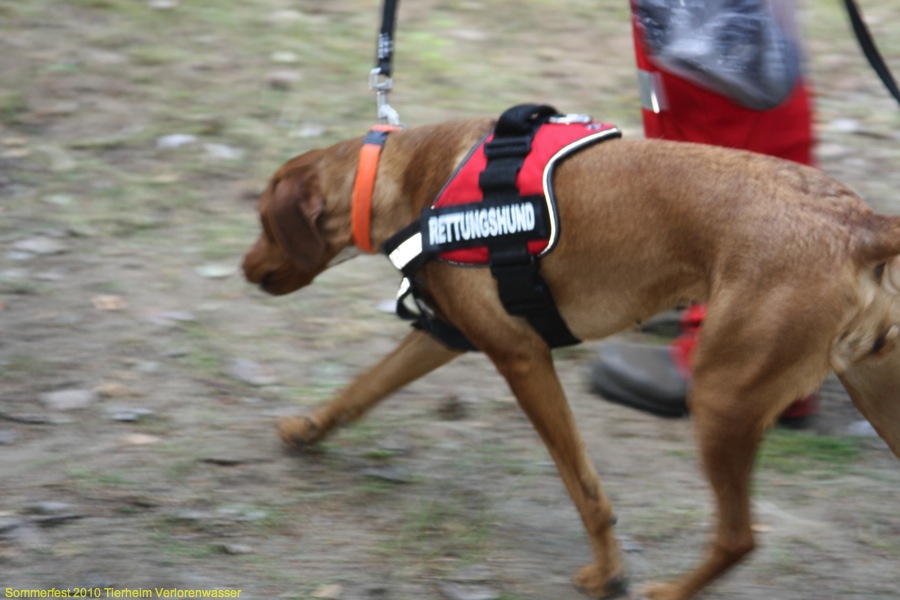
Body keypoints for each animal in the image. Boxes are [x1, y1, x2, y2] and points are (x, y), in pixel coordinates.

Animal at [242, 112, 900, 600]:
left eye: (264, 222)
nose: (246, 270)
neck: (405, 177)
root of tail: (860, 223)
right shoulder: (446, 335)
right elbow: (361, 389)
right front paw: (307, 429)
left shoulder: (522, 358)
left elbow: (583, 487)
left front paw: (608, 573)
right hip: (872, 395)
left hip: (722, 398)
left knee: (739, 537)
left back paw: (670, 591)